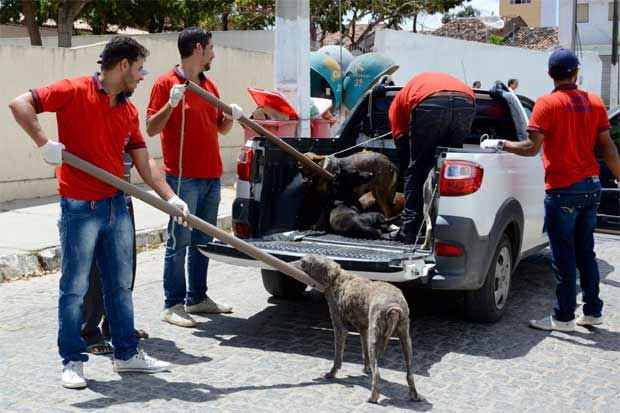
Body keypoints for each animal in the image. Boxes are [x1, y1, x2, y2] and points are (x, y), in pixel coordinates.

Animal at [294, 254, 418, 402]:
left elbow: (337, 357)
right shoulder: (363, 329)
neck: (337, 278)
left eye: (303, 262)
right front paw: (366, 369)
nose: (290, 264)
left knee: (377, 373)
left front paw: (332, 373)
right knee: (409, 373)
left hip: (375, 339)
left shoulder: (340, 327)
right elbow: (364, 353)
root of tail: (393, 307)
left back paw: (373, 397)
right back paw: (414, 394)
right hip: (405, 340)